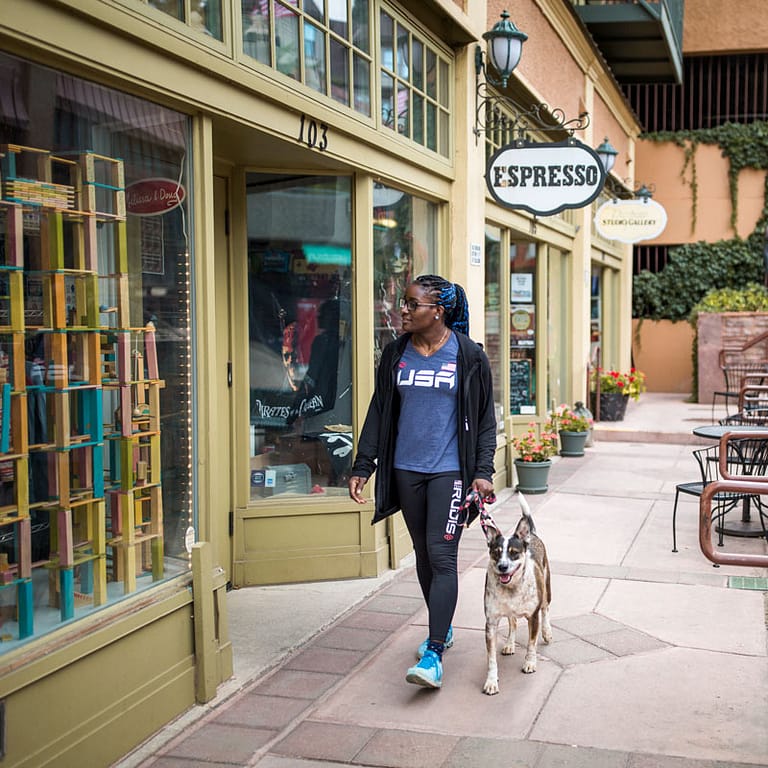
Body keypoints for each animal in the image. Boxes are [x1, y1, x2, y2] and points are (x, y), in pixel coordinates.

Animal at [484, 492, 548, 696]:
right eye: (496, 553)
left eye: (514, 553)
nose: (503, 567)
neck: (511, 587)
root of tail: (531, 534)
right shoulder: (491, 622)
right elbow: (491, 659)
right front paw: (491, 681)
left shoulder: (533, 616)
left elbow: (531, 643)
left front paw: (530, 662)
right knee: (512, 622)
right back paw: (510, 644)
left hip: (546, 588)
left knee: (546, 609)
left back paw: (548, 632)